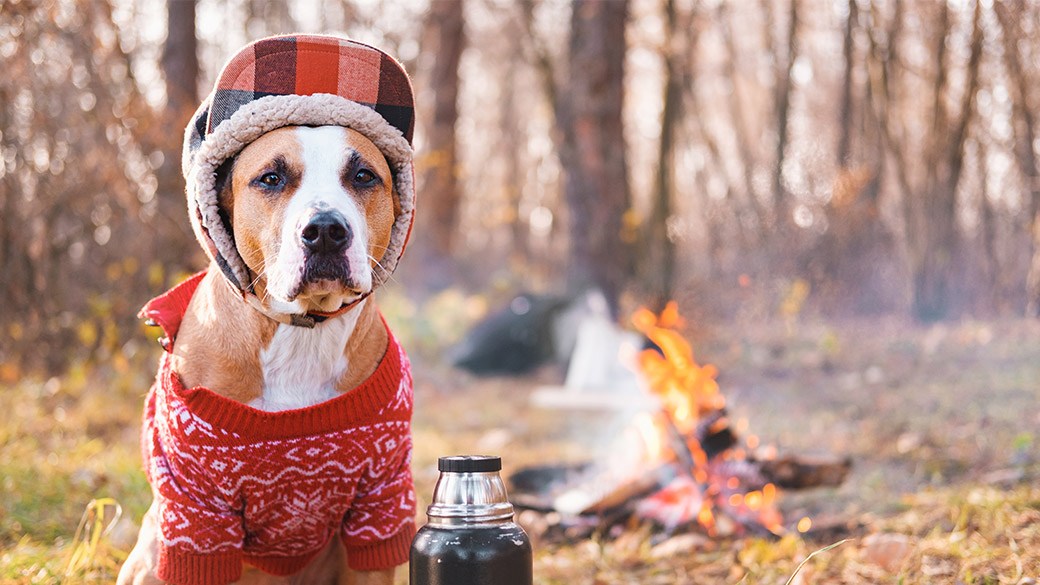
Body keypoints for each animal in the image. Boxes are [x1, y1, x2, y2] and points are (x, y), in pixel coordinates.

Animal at [114, 35, 418, 582]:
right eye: (271, 178)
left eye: (364, 175)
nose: (325, 230)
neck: (301, 332)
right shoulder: (196, 518)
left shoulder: (379, 507)